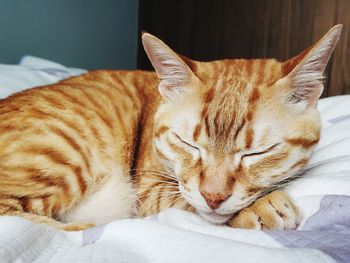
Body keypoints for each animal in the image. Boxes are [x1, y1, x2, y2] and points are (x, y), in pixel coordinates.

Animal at [0, 25, 342, 231]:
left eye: (257, 152)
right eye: (188, 144)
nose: (213, 197)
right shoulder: (150, 189)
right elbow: (184, 200)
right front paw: (261, 207)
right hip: (65, 155)